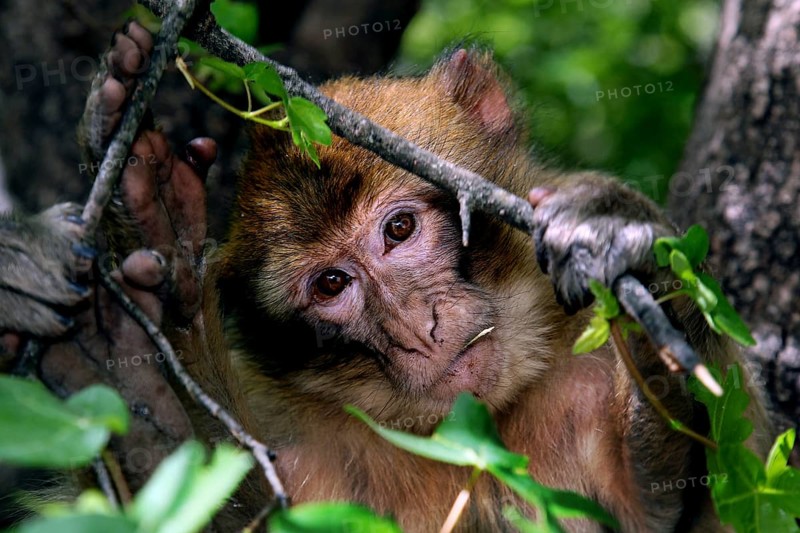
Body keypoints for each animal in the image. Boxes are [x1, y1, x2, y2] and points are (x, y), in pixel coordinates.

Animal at [2, 21, 774, 532]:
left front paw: (621, 234)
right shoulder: (308, 446)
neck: (479, 426)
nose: (414, 328)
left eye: (399, 230)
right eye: (331, 285)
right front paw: (137, 376)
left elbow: (699, 495)